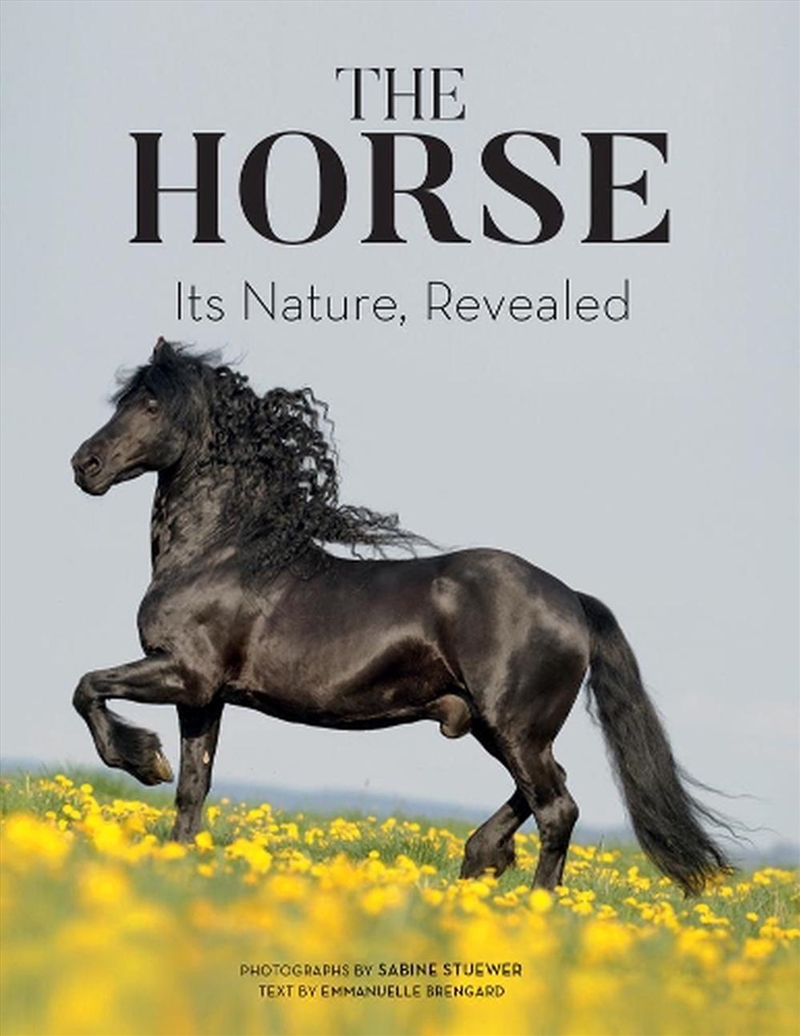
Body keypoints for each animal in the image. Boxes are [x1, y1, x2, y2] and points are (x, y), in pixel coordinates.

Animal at [70, 338, 731, 894]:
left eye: (151, 405)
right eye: (123, 400)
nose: (85, 465)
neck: (224, 551)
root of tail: (570, 598)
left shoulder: (183, 673)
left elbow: (88, 689)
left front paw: (142, 759)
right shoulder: (205, 696)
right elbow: (192, 788)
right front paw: (178, 853)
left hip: (514, 726)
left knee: (557, 808)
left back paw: (532, 899)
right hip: (501, 727)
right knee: (548, 790)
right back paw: (480, 858)